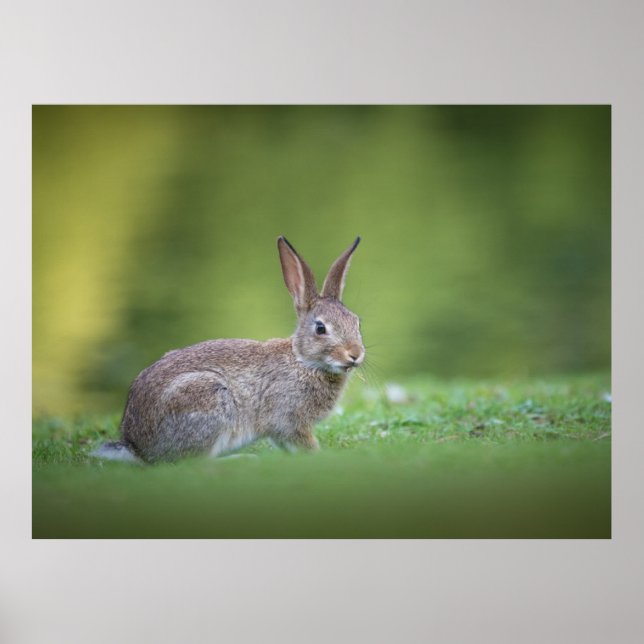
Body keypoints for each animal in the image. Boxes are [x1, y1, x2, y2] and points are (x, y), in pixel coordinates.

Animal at [92, 236, 365, 463]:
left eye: (356, 322)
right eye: (320, 328)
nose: (355, 354)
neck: (302, 361)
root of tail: (137, 446)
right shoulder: (288, 419)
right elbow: (300, 441)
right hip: (207, 400)